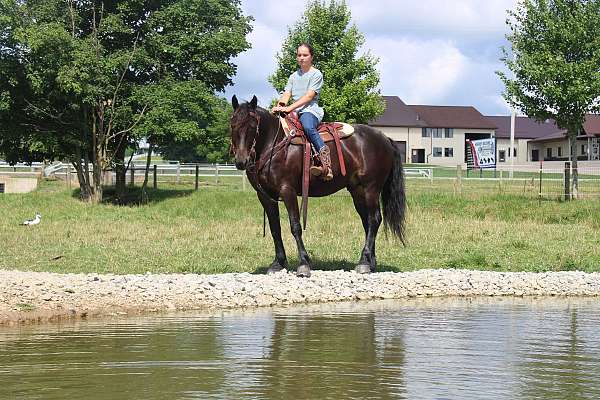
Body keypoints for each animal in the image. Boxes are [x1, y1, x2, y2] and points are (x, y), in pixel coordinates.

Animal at [230, 95, 408, 276]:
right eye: (232, 124)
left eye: (252, 126)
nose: (241, 161)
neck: (274, 145)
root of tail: (385, 139)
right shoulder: (265, 196)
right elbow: (275, 229)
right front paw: (278, 263)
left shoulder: (287, 191)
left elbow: (295, 226)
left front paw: (303, 263)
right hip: (357, 191)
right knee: (367, 221)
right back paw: (370, 262)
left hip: (371, 188)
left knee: (374, 219)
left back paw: (364, 262)